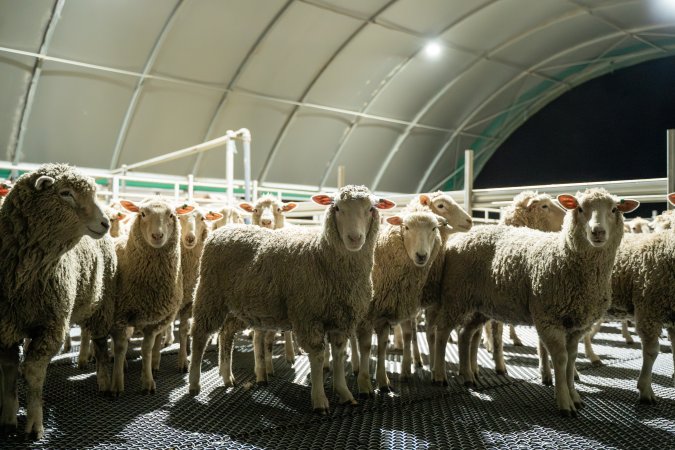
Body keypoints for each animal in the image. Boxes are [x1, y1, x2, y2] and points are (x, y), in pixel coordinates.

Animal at [0, 163, 112, 438]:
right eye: (65, 193)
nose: (105, 222)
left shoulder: (52, 325)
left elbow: (33, 373)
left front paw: (34, 424)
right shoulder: (6, 324)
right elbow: (9, 369)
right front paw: (8, 416)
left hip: (102, 304)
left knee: (101, 344)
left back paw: (105, 381)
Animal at [87, 199, 193, 396]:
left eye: (172, 215)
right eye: (142, 214)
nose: (157, 235)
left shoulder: (152, 321)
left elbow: (147, 349)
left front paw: (148, 381)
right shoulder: (119, 316)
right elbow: (120, 347)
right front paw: (116, 385)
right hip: (100, 313)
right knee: (99, 344)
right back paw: (101, 373)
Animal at [189, 185, 396, 414]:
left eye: (371, 209)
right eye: (337, 208)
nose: (354, 238)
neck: (321, 255)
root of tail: (224, 230)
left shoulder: (340, 318)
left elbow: (339, 355)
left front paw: (344, 393)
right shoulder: (308, 315)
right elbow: (317, 355)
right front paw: (320, 400)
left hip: (241, 307)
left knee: (226, 333)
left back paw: (227, 376)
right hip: (209, 294)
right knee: (199, 335)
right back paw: (194, 383)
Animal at [430, 188, 640, 416]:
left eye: (614, 209)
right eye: (580, 208)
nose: (597, 232)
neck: (564, 256)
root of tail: (462, 237)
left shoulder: (576, 325)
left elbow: (572, 359)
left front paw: (575, 396)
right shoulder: (548, 317)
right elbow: (561, 359)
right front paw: (565, 402)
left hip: (479, 306)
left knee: (465, 334)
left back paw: (468, 376)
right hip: (455, 297)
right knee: (442, 332)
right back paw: (440, 375)